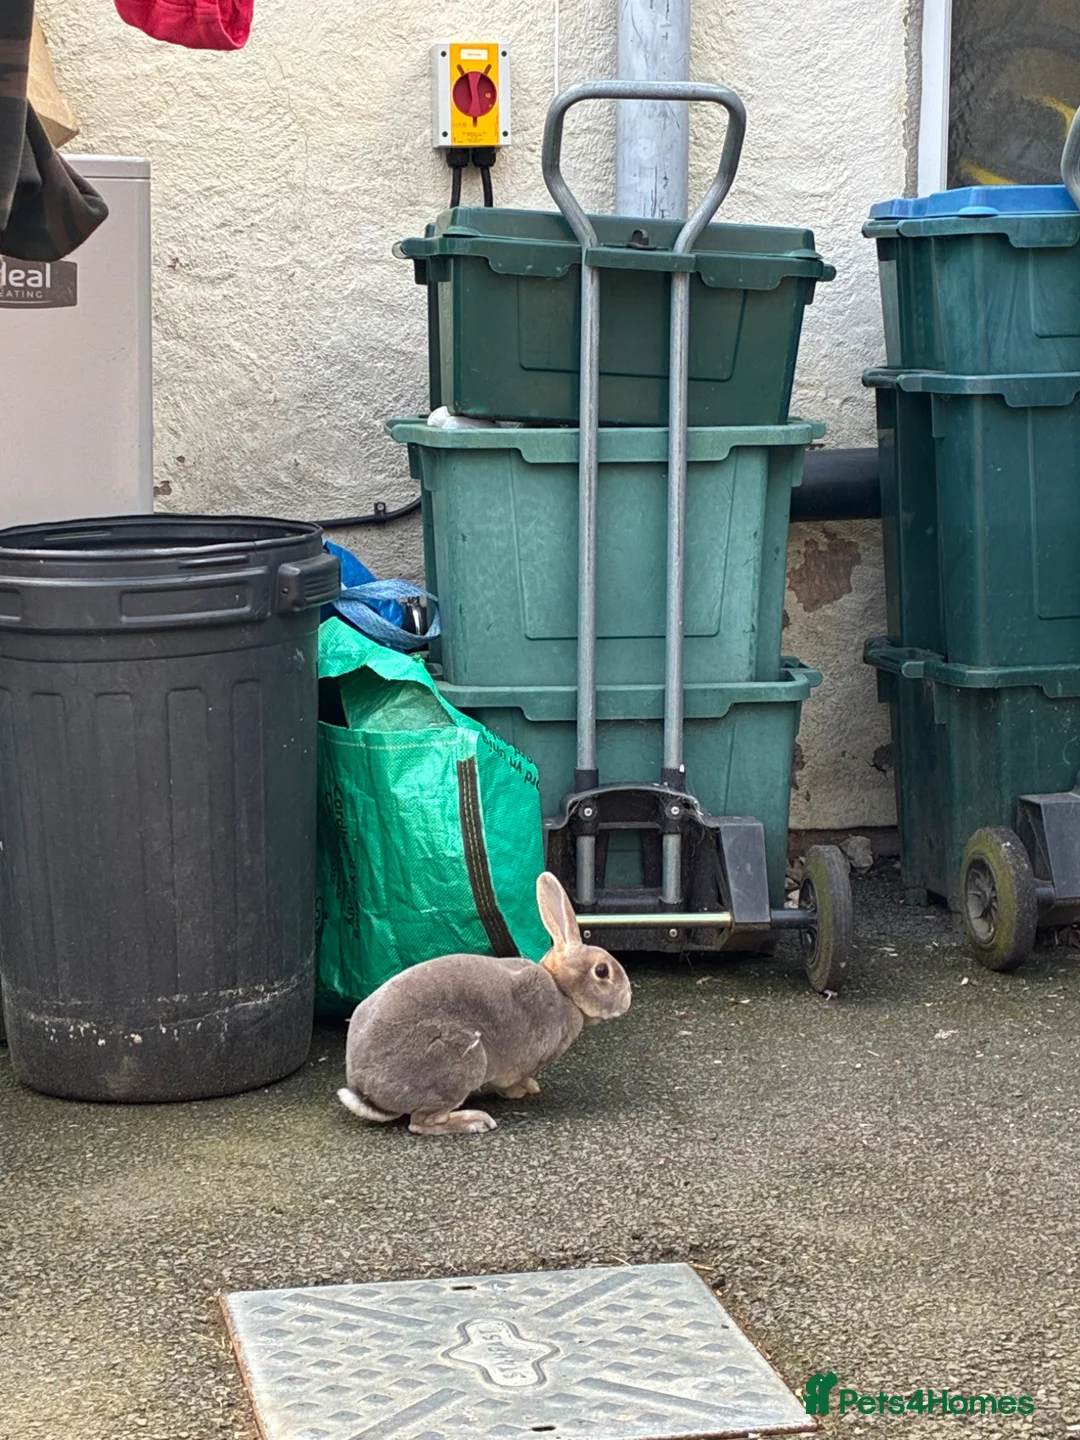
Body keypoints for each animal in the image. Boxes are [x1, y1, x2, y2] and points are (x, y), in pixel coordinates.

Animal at [336, 871, 631, 1136]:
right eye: (602, 971)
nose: (628, 998)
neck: (562, 990)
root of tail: (364, 1089)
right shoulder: (524, 1061)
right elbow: (511, 1082)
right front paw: (523, 1090)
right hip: (460, 1060)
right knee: (421, 1123)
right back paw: (474, 1121)